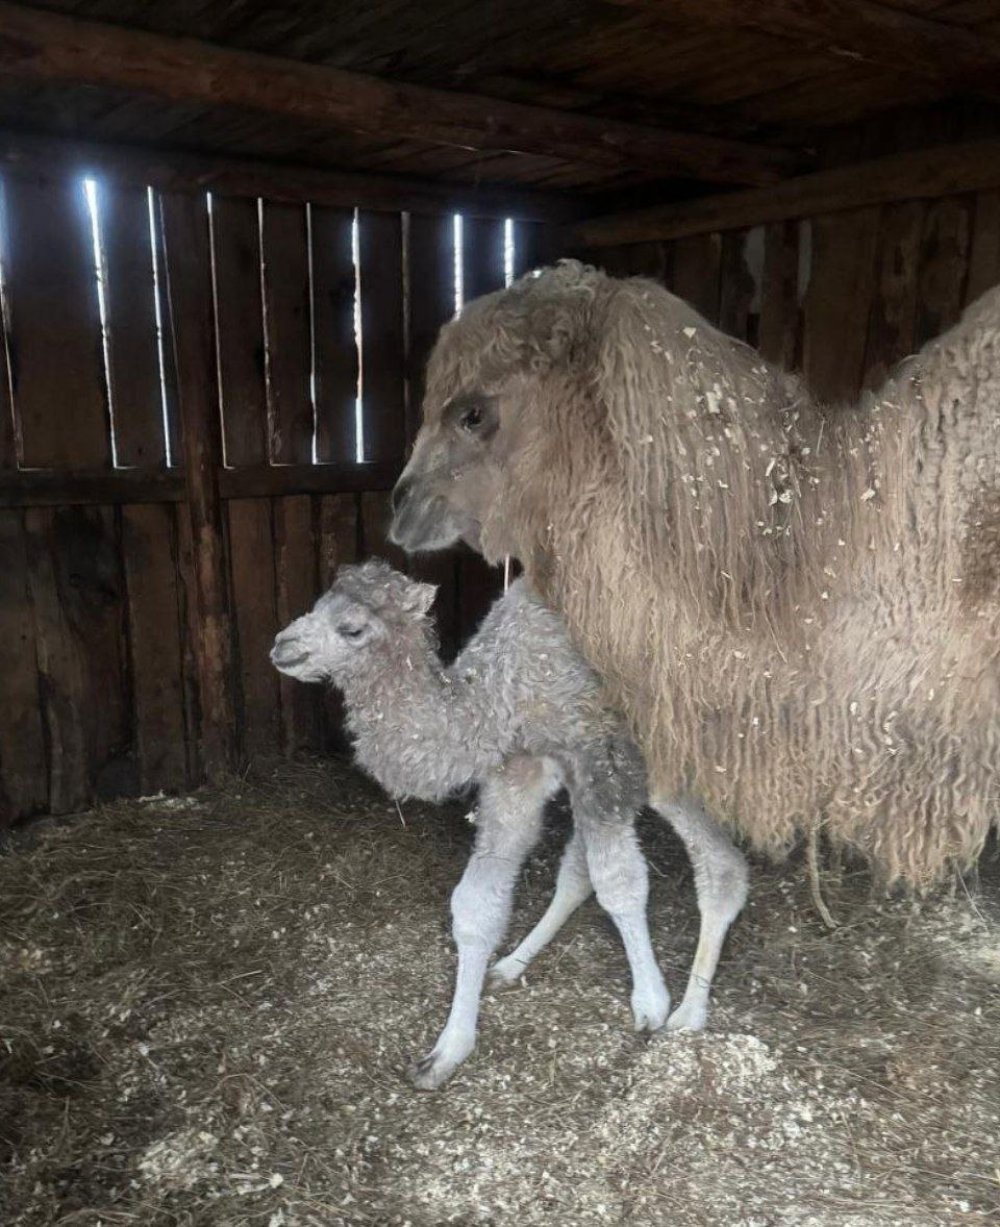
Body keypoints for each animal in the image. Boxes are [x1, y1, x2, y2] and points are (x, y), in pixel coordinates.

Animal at [269, 561, 746, 1089]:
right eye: (316, 604)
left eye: (351, 628)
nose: (283, 646)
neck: (495, 692)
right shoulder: (519, 767)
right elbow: (477, 903)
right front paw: (445, 1053)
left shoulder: (596, 756)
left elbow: (619, 884)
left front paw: (650, 1004)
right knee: (591, 870)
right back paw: (514, 963)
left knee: (722, 868)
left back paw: (688, 1013)